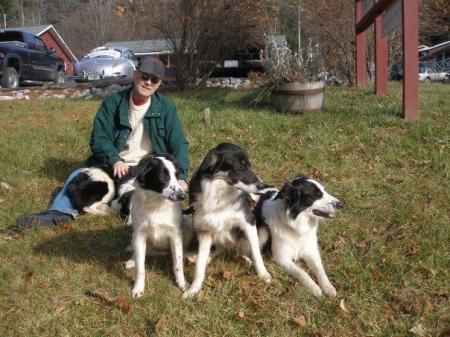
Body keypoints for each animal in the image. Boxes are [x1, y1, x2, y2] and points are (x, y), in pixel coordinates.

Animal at [181, 143, 272, 298]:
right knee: (220, 249)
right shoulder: (204, 231)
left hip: (262, 231)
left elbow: (256, 253)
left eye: (250, 165)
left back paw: (245, 259)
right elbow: (200, 266)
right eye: (239, 167)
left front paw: (263, 274)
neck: (220, 196)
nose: (263, 186)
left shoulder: (248, 222)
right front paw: (193, 290)